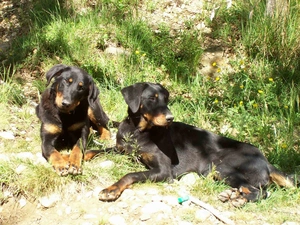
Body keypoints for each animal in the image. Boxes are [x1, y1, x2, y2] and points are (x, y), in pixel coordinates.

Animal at [98, 82, 296, 206]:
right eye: (152, 99)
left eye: (166, 99)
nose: (170, 118)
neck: (137, 131)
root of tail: (266, 160)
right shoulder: (120, 149)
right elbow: (97, 150)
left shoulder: (164, 171)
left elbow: (130, 174)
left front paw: (111, 189)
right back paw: (232, 195)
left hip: (220, 166)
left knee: (260, 192)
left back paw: (238, 199)